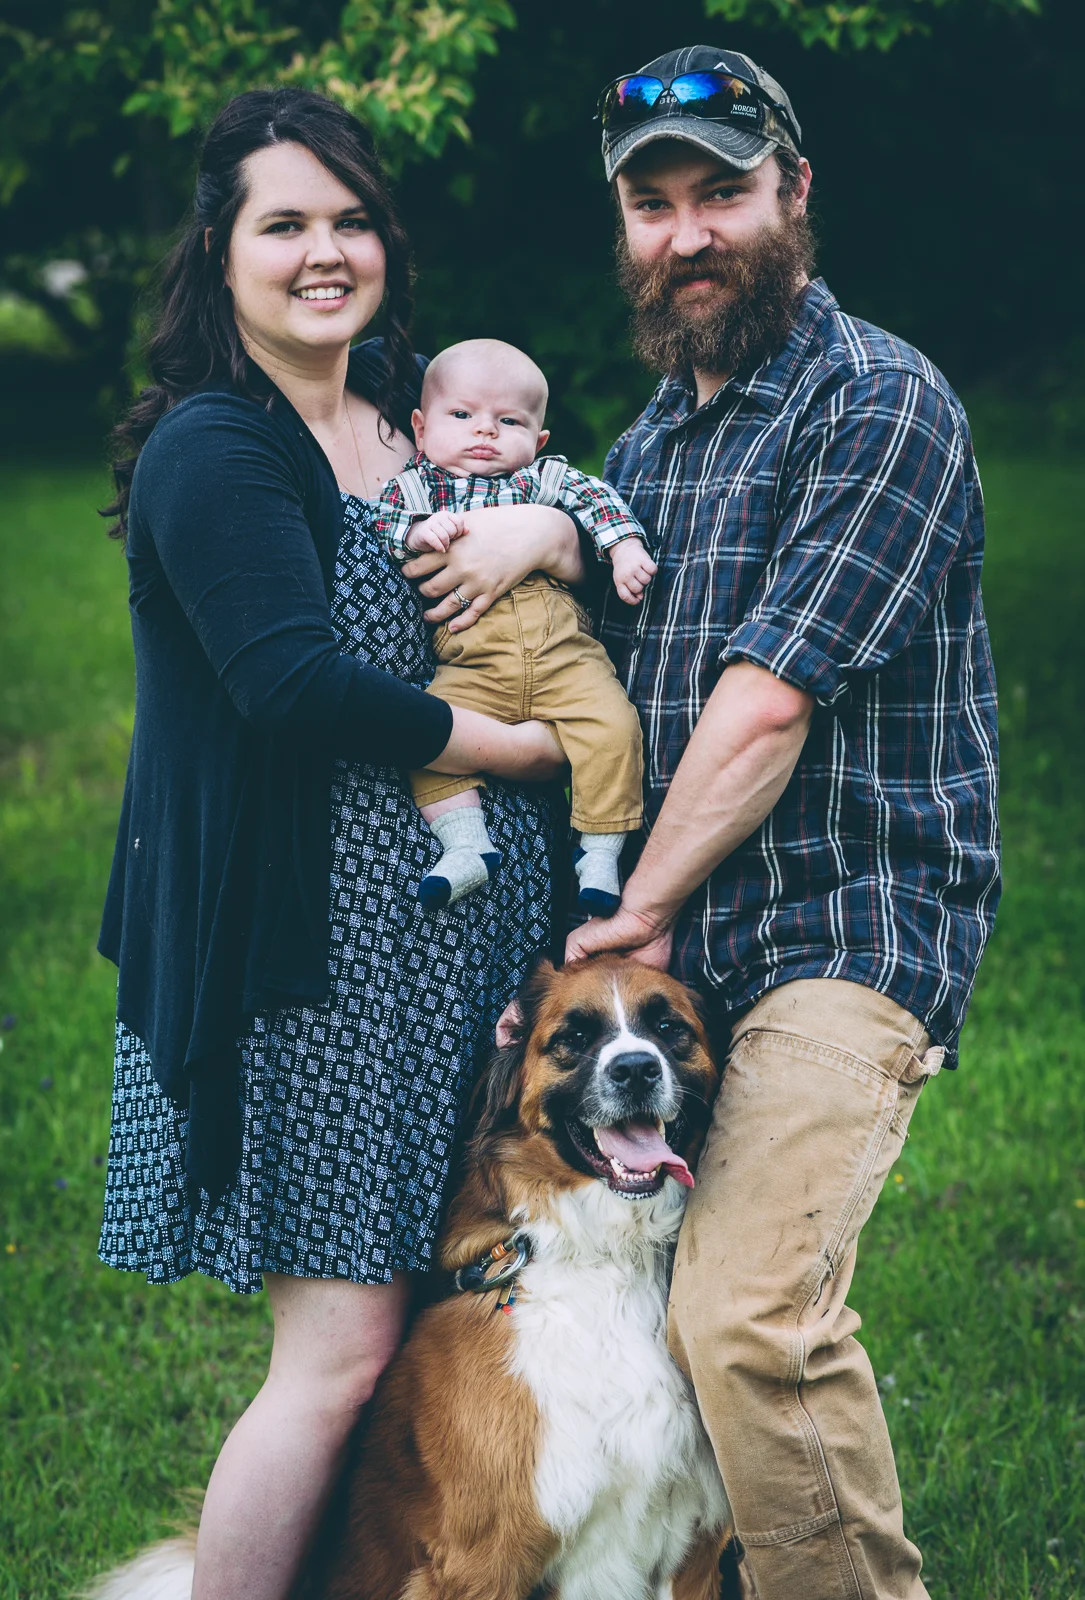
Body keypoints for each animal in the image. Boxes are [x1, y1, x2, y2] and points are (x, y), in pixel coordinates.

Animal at [89, 955, 732, 1600]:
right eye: (574, 1037)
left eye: (669, 1029)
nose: (635, 1068)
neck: (610, 1258)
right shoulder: (482, 1562)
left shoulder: (693, 1551)